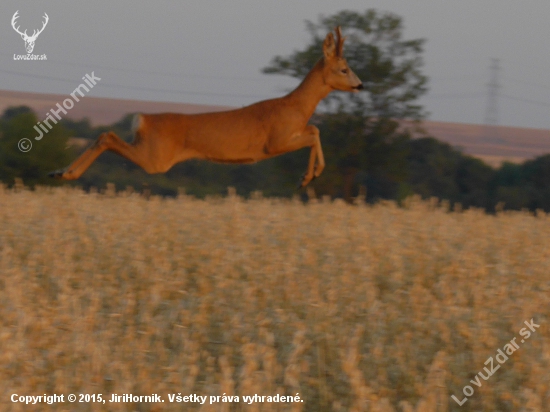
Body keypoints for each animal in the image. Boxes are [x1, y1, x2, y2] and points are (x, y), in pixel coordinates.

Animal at [49, 28, 364, 189]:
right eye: (344, 69)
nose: (360, 85)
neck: (297, 106)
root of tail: (143, 120)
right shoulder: (275, 142)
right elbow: (313, 132)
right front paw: (309, 176)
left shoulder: (290, 134)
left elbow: (314, 129)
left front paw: (307, 176)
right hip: (156, 158)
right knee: (108, 137)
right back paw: (67, 174)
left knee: (105, 135)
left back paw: (60, 172)